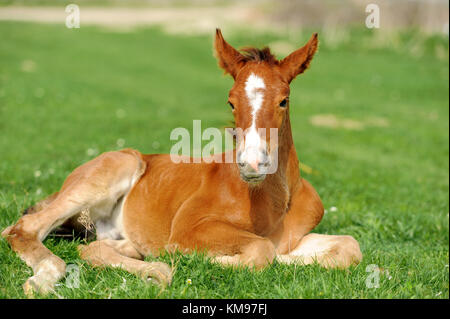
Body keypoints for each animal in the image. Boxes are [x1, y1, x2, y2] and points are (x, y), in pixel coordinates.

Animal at [1, 30, 362, 298]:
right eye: (231, 102)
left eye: (284, 100)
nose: (252, 165)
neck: (274, 200)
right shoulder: (189, 227)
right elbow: (262, 251)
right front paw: (189, 258)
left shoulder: (300, 235)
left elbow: (349, 247)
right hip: (112, 170)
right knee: (22, 228)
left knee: (94, 249)